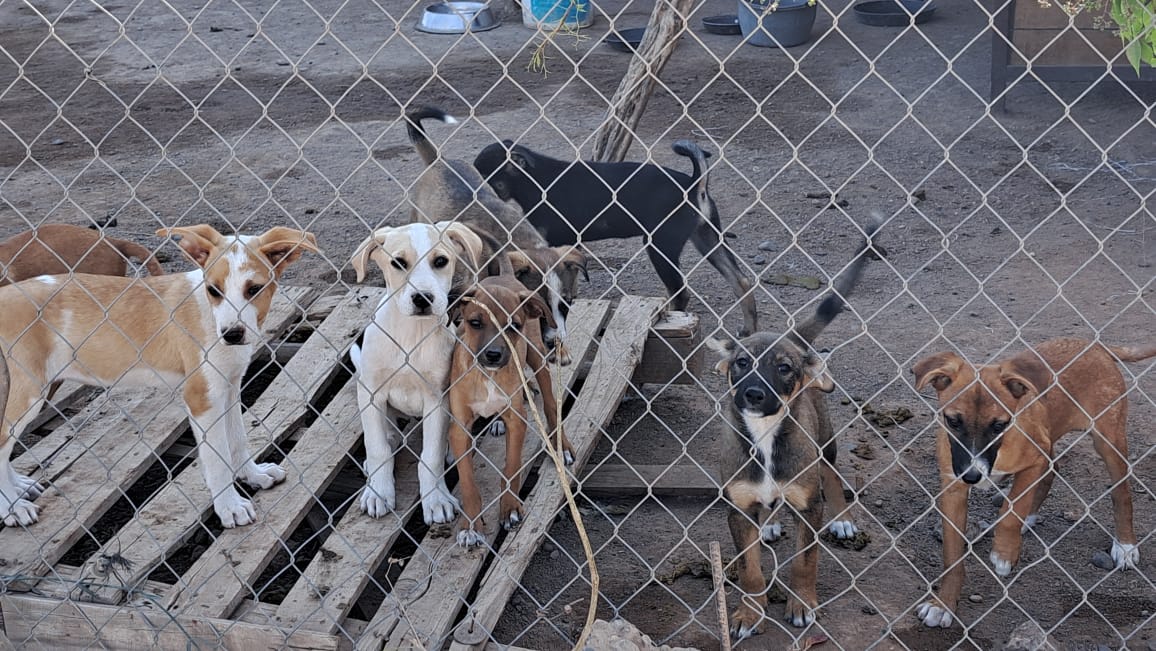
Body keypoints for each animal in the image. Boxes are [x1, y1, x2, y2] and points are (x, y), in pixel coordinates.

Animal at [441, 272, 573, 548]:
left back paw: (561, 445)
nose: (493, 354)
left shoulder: (517, 419)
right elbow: (467, 481)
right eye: (475, 323)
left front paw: (510, 508)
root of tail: (505, 275)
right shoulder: (459, 430)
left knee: (550, 404)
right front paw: (471, 525)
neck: (487, 376)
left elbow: (511, 467)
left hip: (536, 354)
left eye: (514, 326)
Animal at [707, 216, 878, 638]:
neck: (766, 434)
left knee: (831, 473)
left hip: (826, 443)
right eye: (741, 363)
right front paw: (749, 613)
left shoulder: (808, 505)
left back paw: (842, 519)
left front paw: (801, 605)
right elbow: (750, 568)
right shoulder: (737, 508)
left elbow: (805, 560)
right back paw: (768, 523)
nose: (753, 394)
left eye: (783, 368)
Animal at [910, 339, 1156, 629]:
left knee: (1121, 492)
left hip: (1108, 440)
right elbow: (952, 557)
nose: (972, 477)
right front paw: (943, 605)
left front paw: (1004, 553)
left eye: (999, 425)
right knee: (1052, 471)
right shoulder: (953, 487)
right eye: (953, 421)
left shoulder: (1033, 462)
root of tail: (1094, 345)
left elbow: (1012, 508)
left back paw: (1125, 545)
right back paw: (1030, 519)